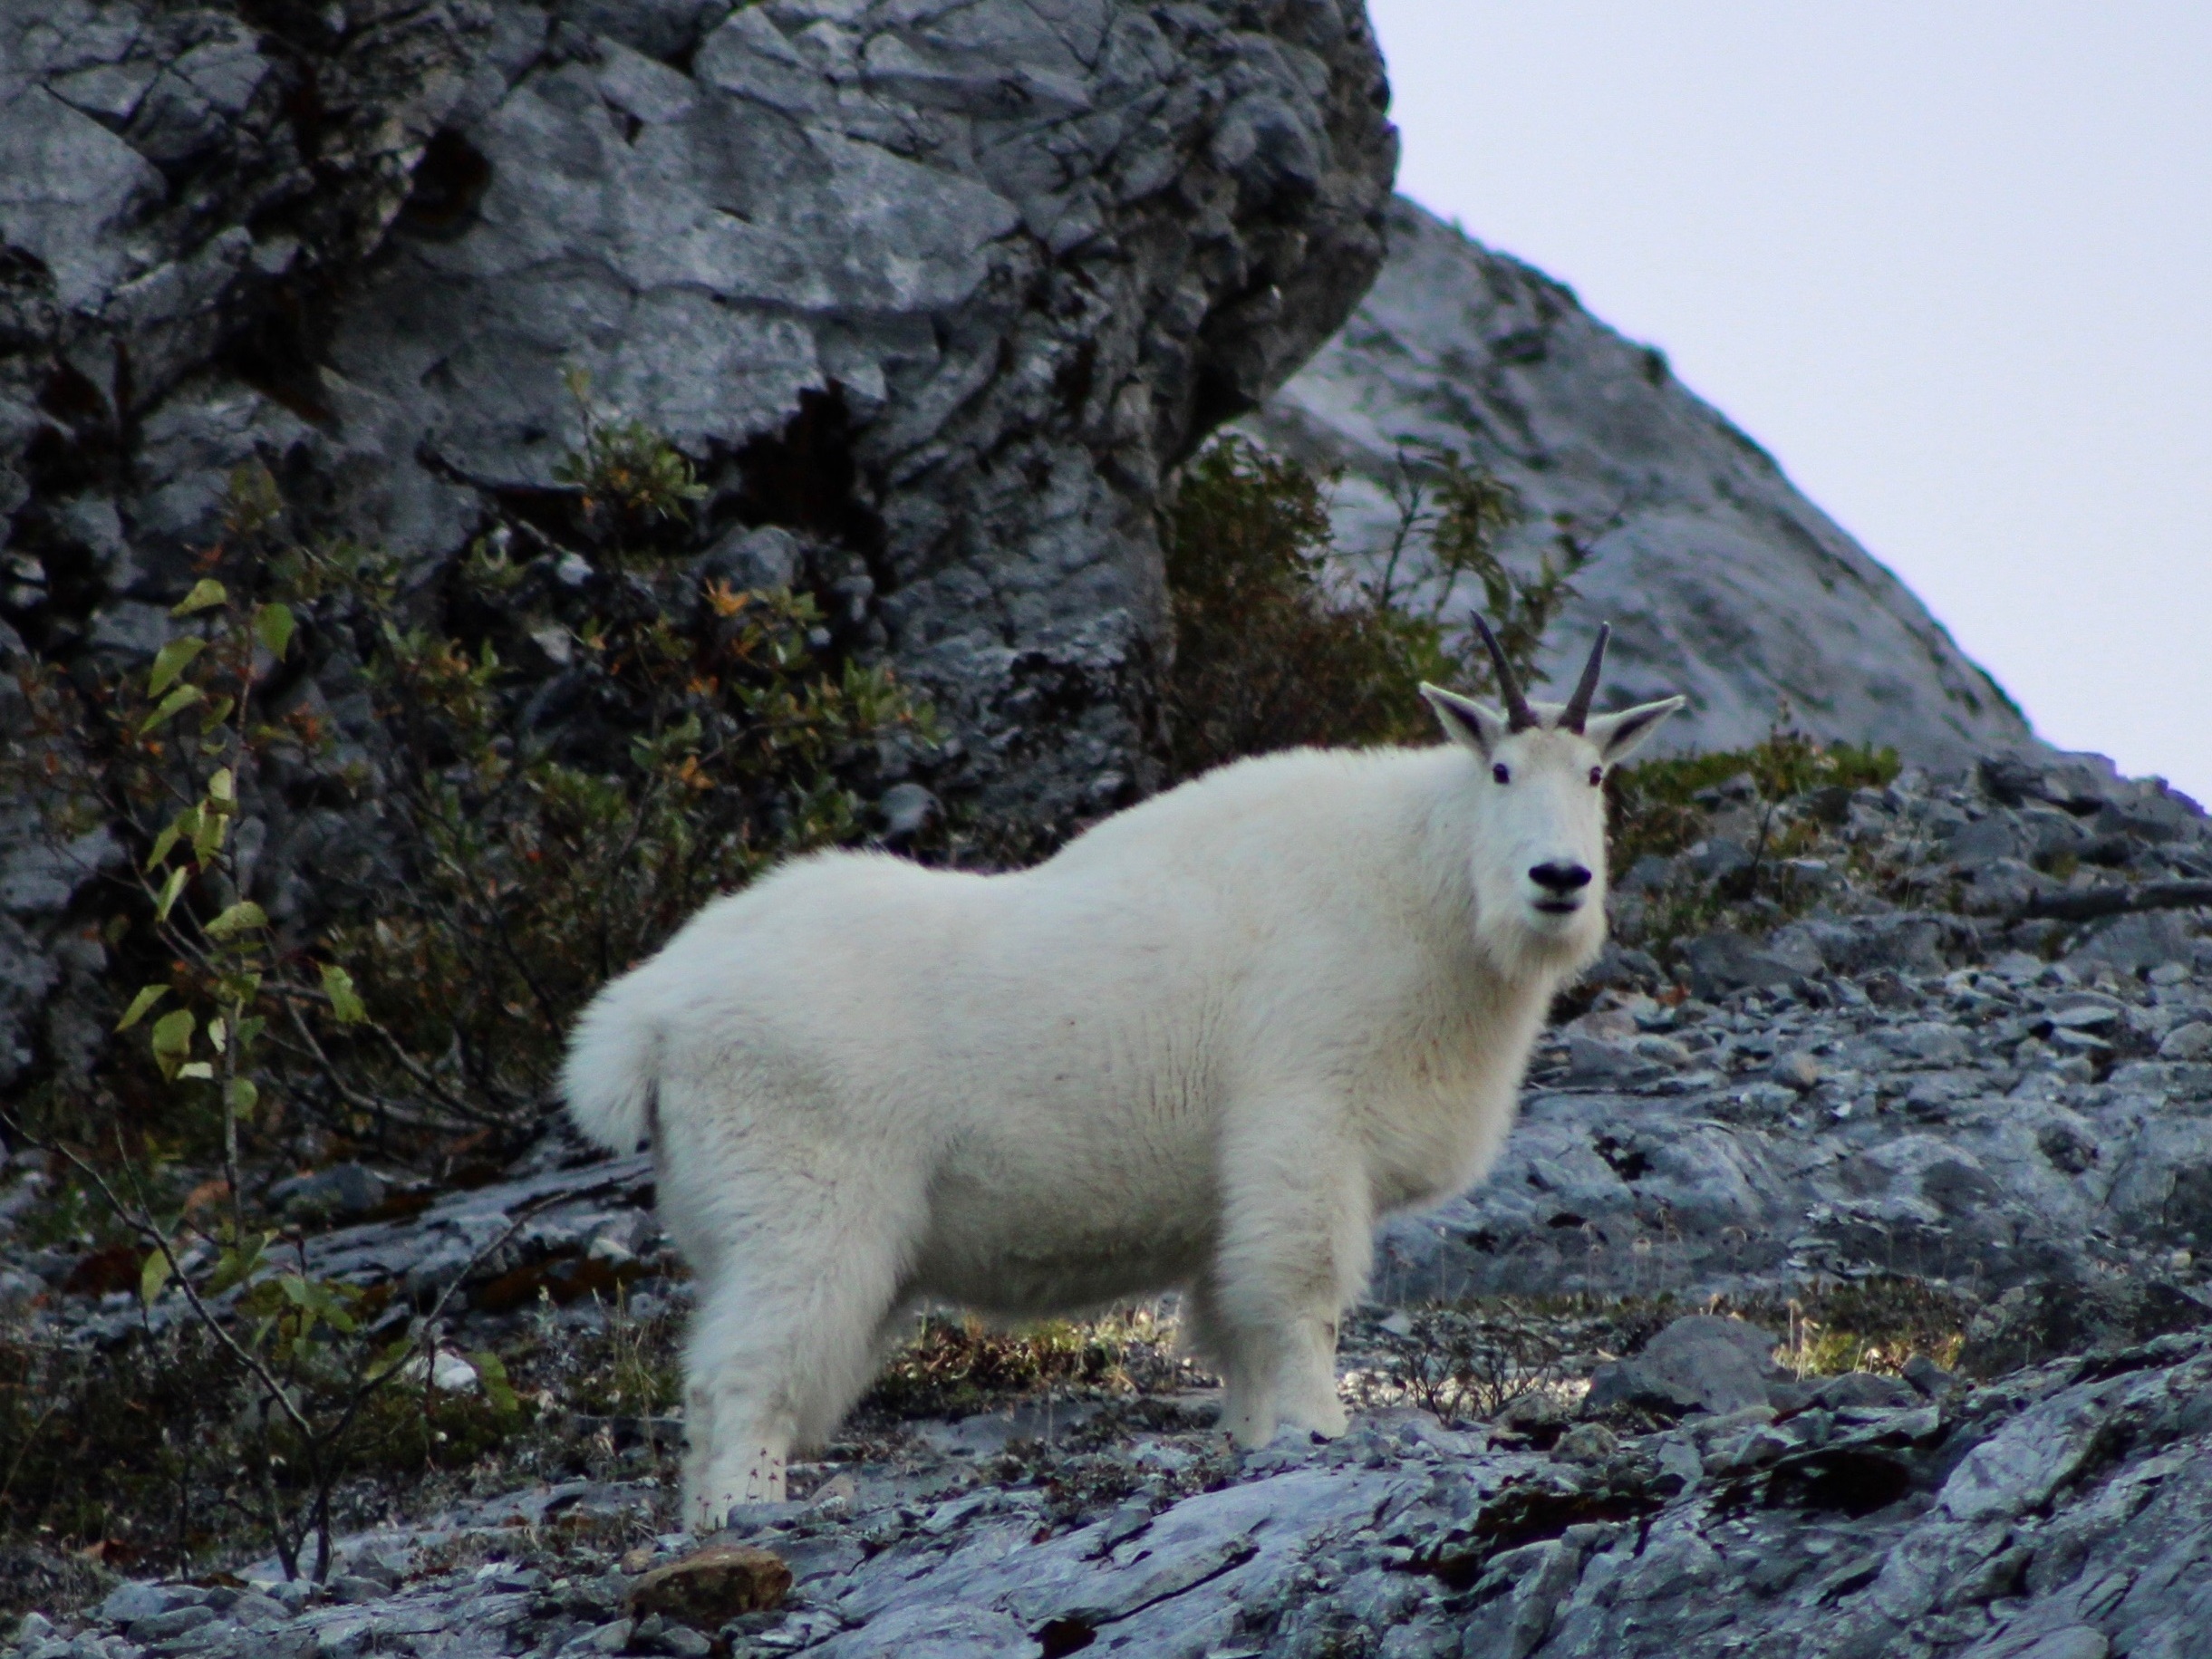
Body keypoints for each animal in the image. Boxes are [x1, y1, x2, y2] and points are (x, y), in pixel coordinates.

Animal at [565, 623, 1672, 1530]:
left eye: (1595, 777)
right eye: (1499, 769)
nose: (1558, 880)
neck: (1425, 887)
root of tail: (647, 1016)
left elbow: (1235, 1331)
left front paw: (1258, 1442)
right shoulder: (1303, 1124)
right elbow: (1299, 1297)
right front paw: (1320, 1432)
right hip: (803, 1207)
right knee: (739, 1380)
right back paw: (743, 1521)